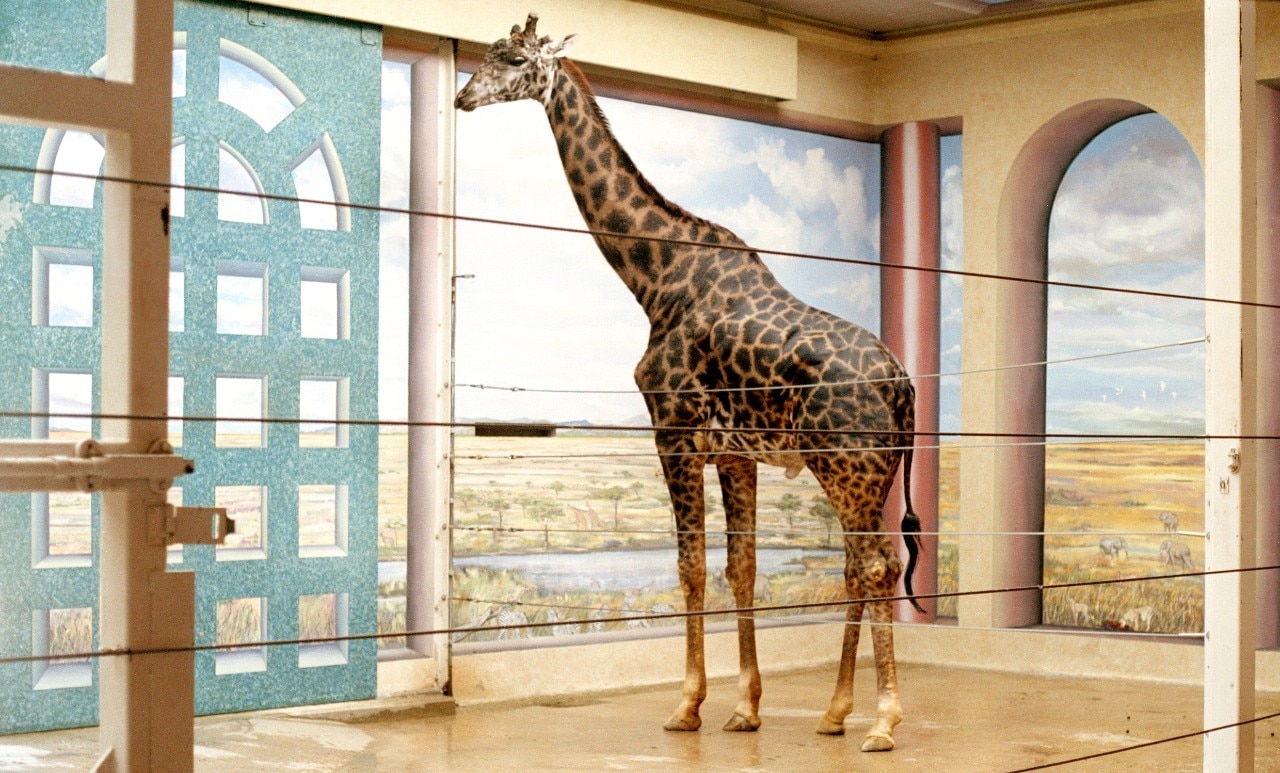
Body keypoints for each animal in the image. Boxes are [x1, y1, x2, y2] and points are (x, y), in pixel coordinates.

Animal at [455, 14, 923, 751]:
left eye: (513, 58)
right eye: (485, 54)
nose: (462, 98)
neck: (655, 277)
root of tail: (901, 383)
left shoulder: (673, 431)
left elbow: (690, 566)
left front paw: (688, 704)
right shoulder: (735, 453)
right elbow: (741, 567)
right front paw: (747, 706)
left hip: (846, 466)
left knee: (874, 565)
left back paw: (882, 719)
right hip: (868, 473)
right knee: (864, 564)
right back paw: (834, 712)